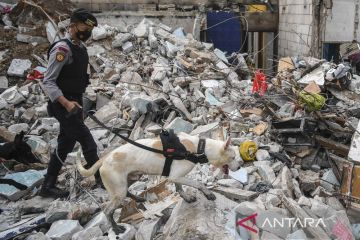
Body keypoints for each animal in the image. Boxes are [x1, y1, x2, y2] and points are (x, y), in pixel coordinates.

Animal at [75, 132, 240, 233]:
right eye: (233, 157)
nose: (239, 166)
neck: (199, 148)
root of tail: (104, 158)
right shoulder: (176, 176)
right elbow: (198, 184)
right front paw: (208, 193)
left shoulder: (175, 177)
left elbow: (180, 188)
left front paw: (186, 197)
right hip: (118, 190)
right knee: (107, 210)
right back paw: (116, 228)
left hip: (129, 179)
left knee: (127, 191)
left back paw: (139, 198)